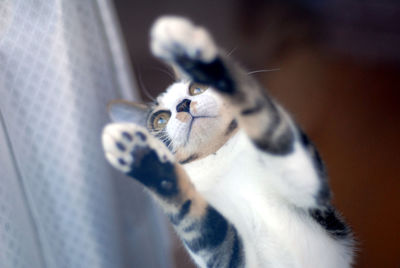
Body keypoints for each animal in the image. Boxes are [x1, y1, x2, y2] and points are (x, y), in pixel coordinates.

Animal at [102, 16, 354, 268]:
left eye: (196, 88)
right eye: (160, 119)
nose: (183, 104)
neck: (219, 158)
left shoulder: (311, 190)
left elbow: (272, 128)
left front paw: (194, 57)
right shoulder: (230, 258)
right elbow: (200, 224)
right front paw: (141, 156)